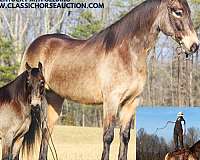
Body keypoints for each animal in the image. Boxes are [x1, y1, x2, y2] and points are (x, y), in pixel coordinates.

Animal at [18, 0, 198, 159]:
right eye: (178, 12)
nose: (194, 45)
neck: (127, 54)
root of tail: (36, 43)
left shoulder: (131, 102)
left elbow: (125, 137)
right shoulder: (111, 100)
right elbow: (108, 136)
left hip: (55, 98)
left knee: (46, 132)